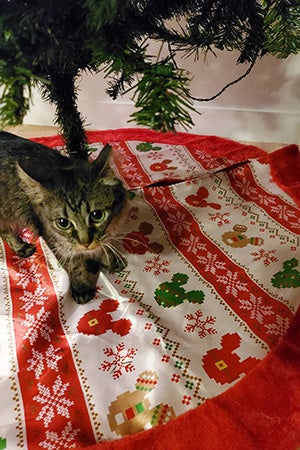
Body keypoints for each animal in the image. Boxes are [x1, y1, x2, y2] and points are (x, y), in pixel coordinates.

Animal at [0, 132, 127, 304]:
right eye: (63, 223)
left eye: (97, 215)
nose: (85, 243)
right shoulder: (54, 239)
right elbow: (74, 265)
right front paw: (81, 286)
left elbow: (104, 245)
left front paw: (111, 258)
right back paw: (21, 246)